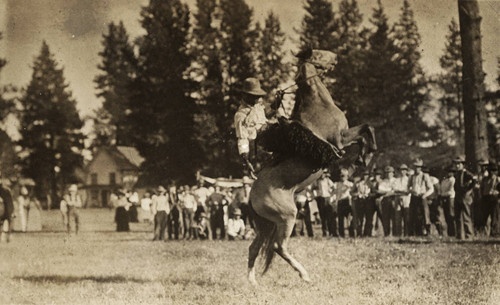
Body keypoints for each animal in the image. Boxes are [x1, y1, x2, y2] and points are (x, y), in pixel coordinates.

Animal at [248, 47, 376, 282]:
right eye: (318, 53)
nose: (335, 56)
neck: (319, 105)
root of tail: (251, 197)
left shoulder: (343, 140)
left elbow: (365, 131)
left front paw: (362, 158)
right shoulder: (340, 139)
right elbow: (365, 130)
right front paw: (366, 156)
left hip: (267, 224)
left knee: (254, 248)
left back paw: (252, 283)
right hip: (287, 217)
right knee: (278, 247)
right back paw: (304, 275)